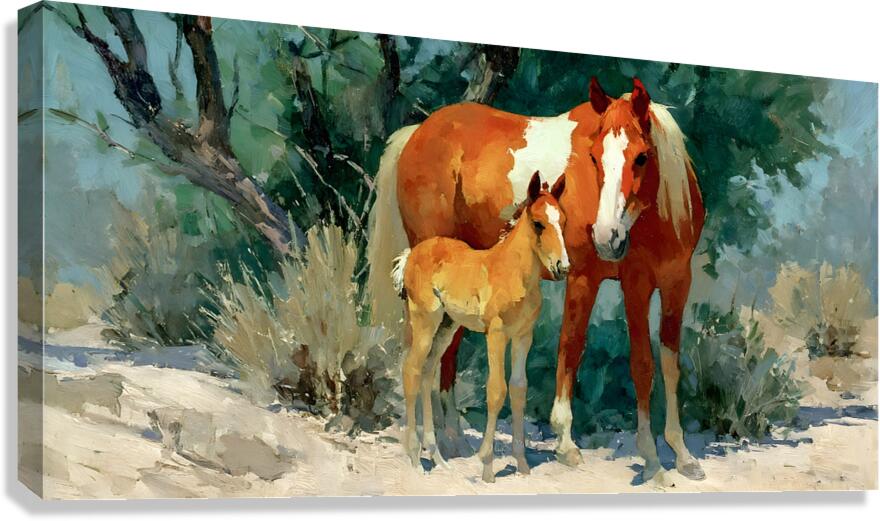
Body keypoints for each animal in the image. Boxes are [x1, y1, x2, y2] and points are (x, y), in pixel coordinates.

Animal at [393, 171, 569, 482]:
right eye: (538, 223)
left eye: (564, 220)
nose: (563, 267)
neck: (513, 273)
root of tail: (413, 253)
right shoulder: (496, 335)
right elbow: (496, 391)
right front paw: (487, 465)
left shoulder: (523, 337)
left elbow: (519, 390)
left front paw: (522, 464)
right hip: (425, 321)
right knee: (411, 370)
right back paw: (415, 458)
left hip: (447, 326)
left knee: (428, 372)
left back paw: (437, 457)